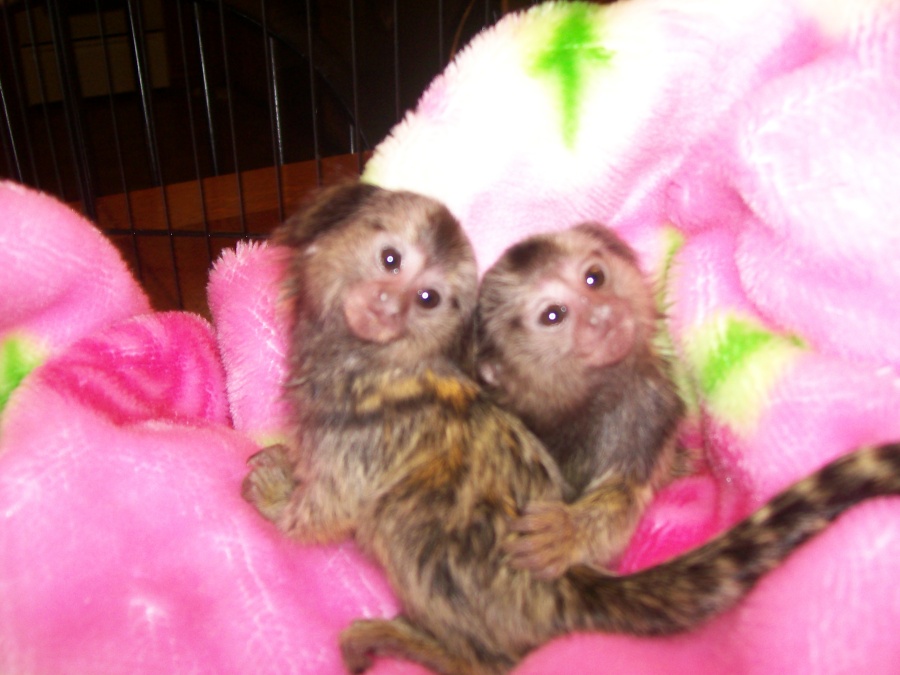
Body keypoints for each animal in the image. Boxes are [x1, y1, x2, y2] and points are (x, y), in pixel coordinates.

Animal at [473, 223, 686, 578]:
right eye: (553, 315)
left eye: (594, 278)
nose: (601, 313)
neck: (585, 406)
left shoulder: (650, 408)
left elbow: (624, 497)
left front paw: (569, 532)